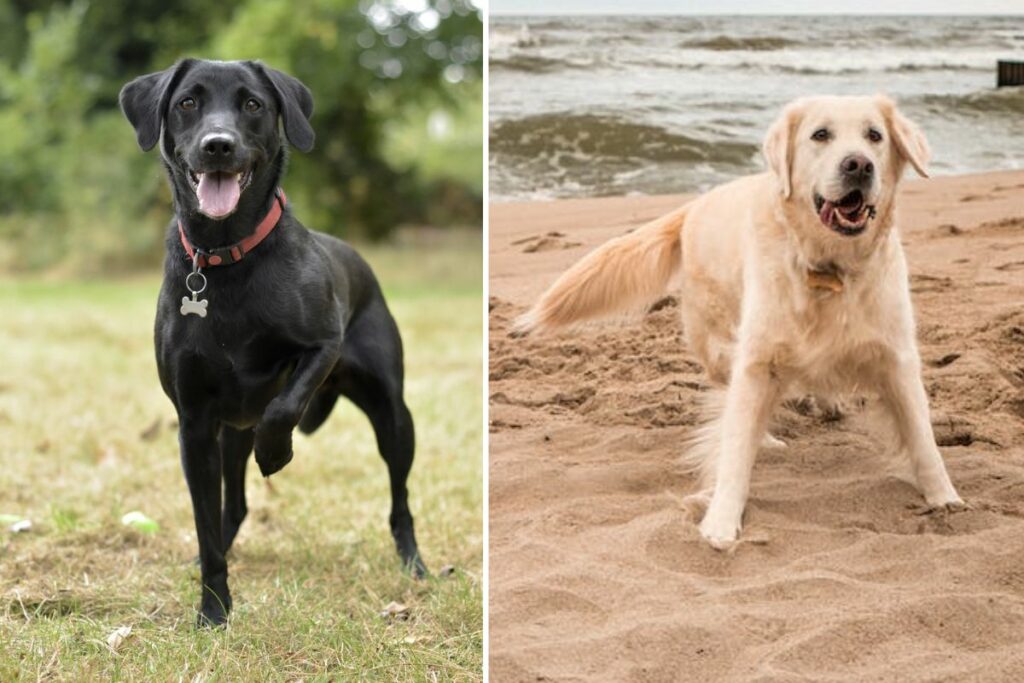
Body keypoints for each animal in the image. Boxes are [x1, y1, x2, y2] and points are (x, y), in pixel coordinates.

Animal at [119, 61, 423, 626]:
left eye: (253, 104)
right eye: (187, 103)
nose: (218, 145)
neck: (225, 258)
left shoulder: (323, 344)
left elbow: (284, 405)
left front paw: (276, 452)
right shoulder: (195, 424)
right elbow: (207, 522)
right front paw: (214, 609)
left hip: (393, 415)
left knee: (400, 499)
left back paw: (415, 563)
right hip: (228, 432)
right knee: (232, 507)